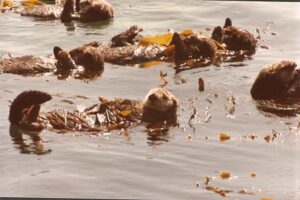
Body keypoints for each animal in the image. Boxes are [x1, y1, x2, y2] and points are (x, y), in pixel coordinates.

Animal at [8, 86, 178, 132]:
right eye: (152, 91)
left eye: (164, 96)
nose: (153, 96)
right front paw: (106, 100)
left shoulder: (146, 115)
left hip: (35, 124)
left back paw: (36, 107)